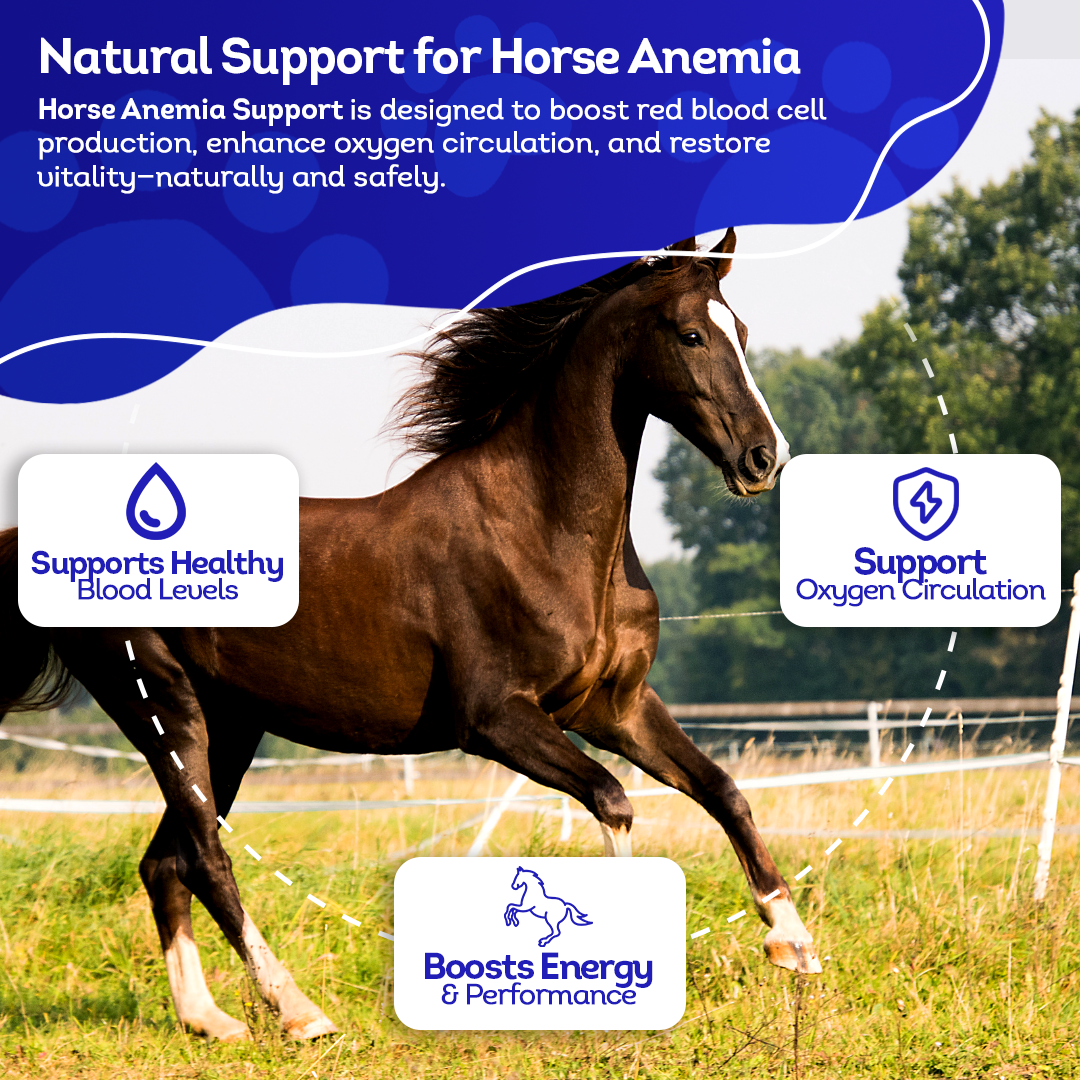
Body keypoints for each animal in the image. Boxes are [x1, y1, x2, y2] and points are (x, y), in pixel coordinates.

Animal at [0, 229, 821, 1042]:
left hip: (227, 726)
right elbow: (612, 799)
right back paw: (297, 1012)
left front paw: (795, 946)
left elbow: (722, 789)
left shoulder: (613, 707)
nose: (764, 459)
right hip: (165, 708)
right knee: (204, 857)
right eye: (690, 335)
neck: (544, 530)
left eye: (742, 333)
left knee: (164, 863)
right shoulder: (494, 720)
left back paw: (210, 1019)